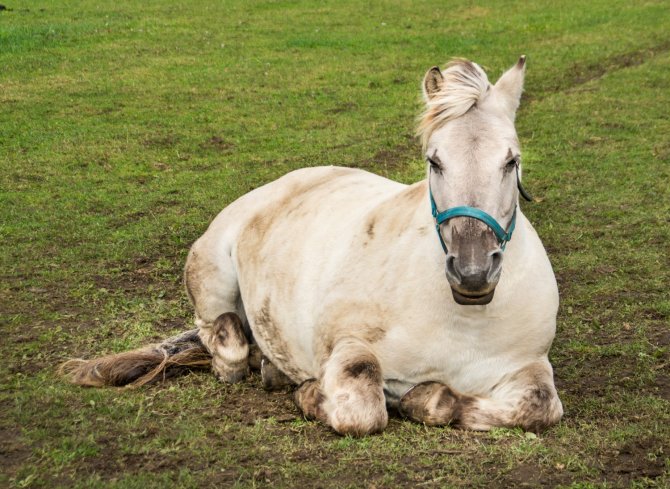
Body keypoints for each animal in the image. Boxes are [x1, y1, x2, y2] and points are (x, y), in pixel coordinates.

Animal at [64, 56, 568, 434]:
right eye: (434, 161)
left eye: (511, 161)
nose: (472, 271)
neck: (462, 319)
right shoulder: (346, 345)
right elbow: (362, 409)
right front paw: (310, 393)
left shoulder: (529, 367)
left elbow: (539, 407)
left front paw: (427, 396)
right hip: (211, 275)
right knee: (223, 342)